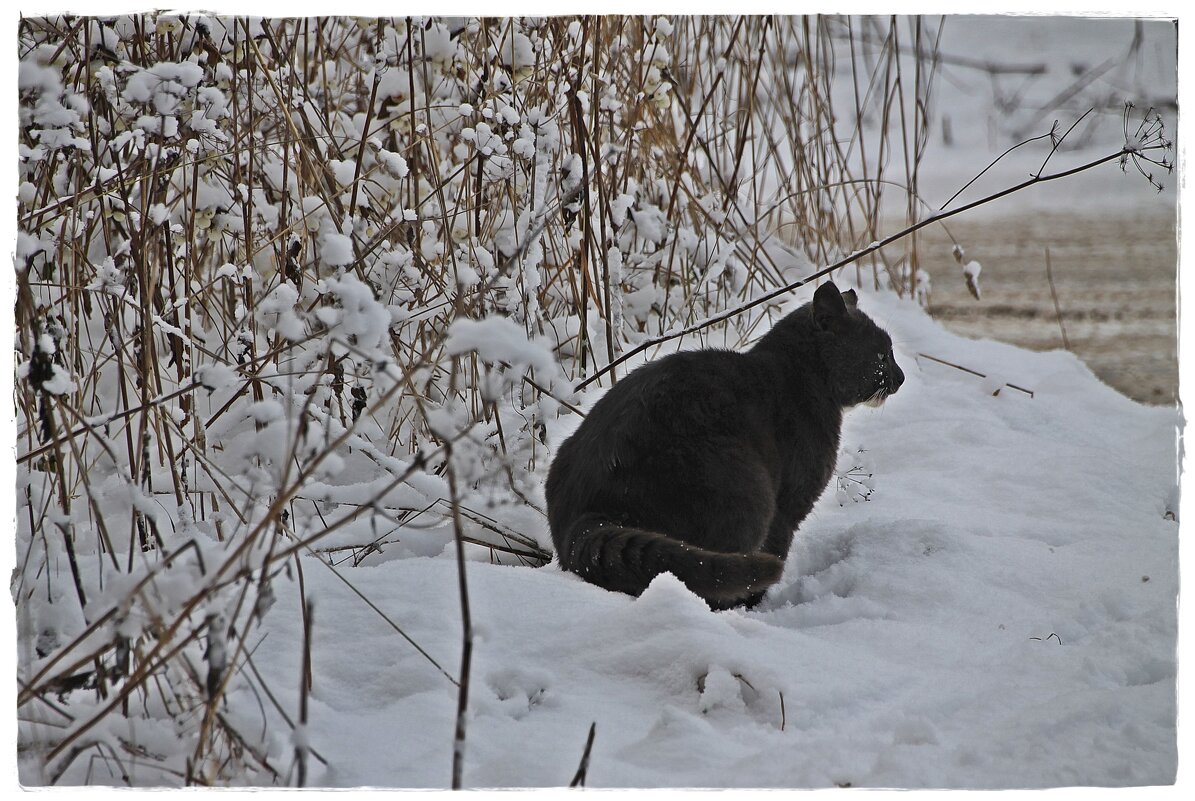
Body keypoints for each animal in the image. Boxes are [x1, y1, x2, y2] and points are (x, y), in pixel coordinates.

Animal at [547, 280, 898, 609]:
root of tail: (585, 513)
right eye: (882, 354)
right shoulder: (787, 508)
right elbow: (776, 549)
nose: (901, 376)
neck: (801, 376)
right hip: (745, 490)